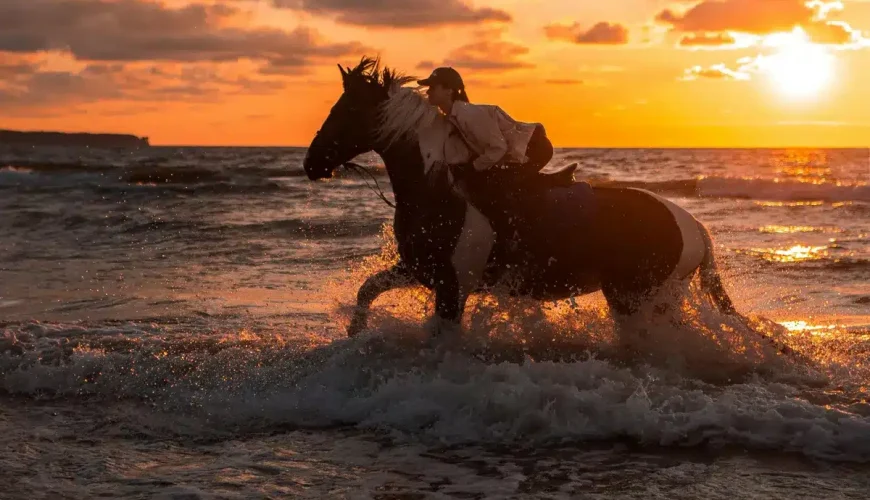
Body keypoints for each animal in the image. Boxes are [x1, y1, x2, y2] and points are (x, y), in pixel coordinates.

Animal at [301, 57, 784, 352]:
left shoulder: (452, 287)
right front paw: (352, 336)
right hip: (662, 296)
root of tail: (692, 225)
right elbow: (367, 291)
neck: (434, 187)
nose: (311, 164)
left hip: (634, 296)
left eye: (347, 111)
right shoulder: (420, 270)